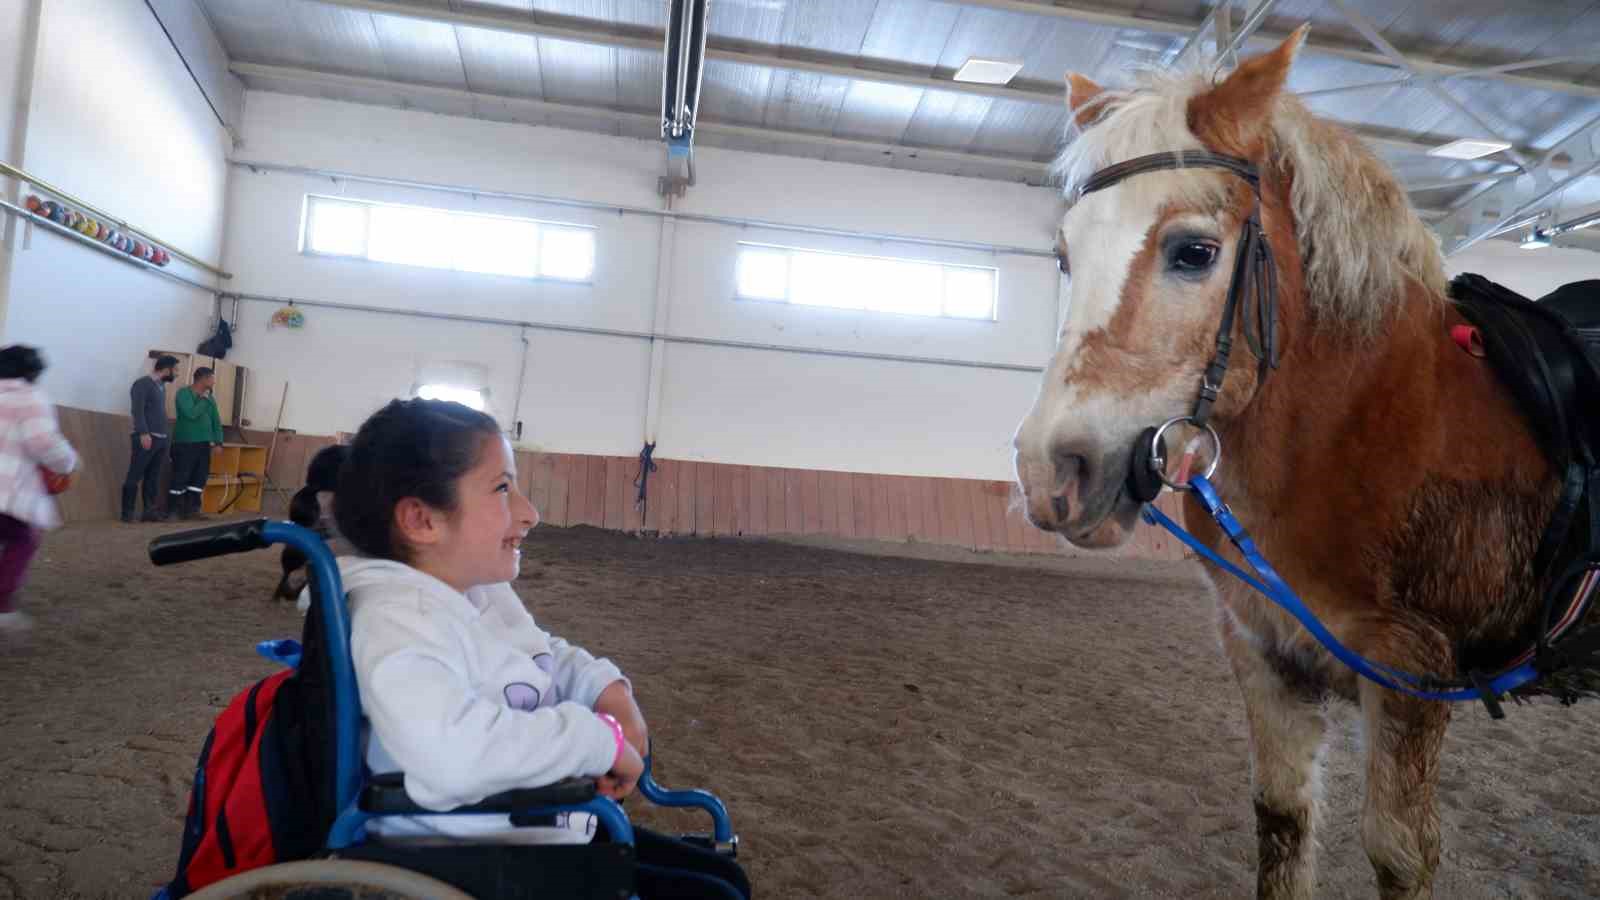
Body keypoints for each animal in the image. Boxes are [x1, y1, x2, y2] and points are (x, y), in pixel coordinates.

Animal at [1011, 24, 1587, 890]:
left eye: (1193, 251)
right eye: (1065, 257)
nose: (1051, 471)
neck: (1349, 426)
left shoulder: (1411, 670)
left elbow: (1398, 853)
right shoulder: (1261, 649)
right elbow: (1282, 819)